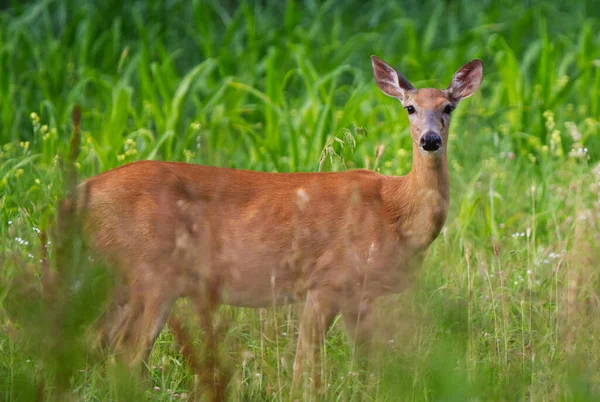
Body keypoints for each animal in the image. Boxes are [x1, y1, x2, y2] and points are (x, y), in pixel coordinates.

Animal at [67, 55, 482, 386]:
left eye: (448, 107)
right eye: (409, 107)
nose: (430, 139)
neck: (396, 212)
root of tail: (80, 193)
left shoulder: (358, 295)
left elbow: (367, 365)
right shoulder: (327, 280)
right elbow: (305, 365)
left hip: (119, 277)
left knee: (93, 342)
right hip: (152, 273)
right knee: (126, 354)